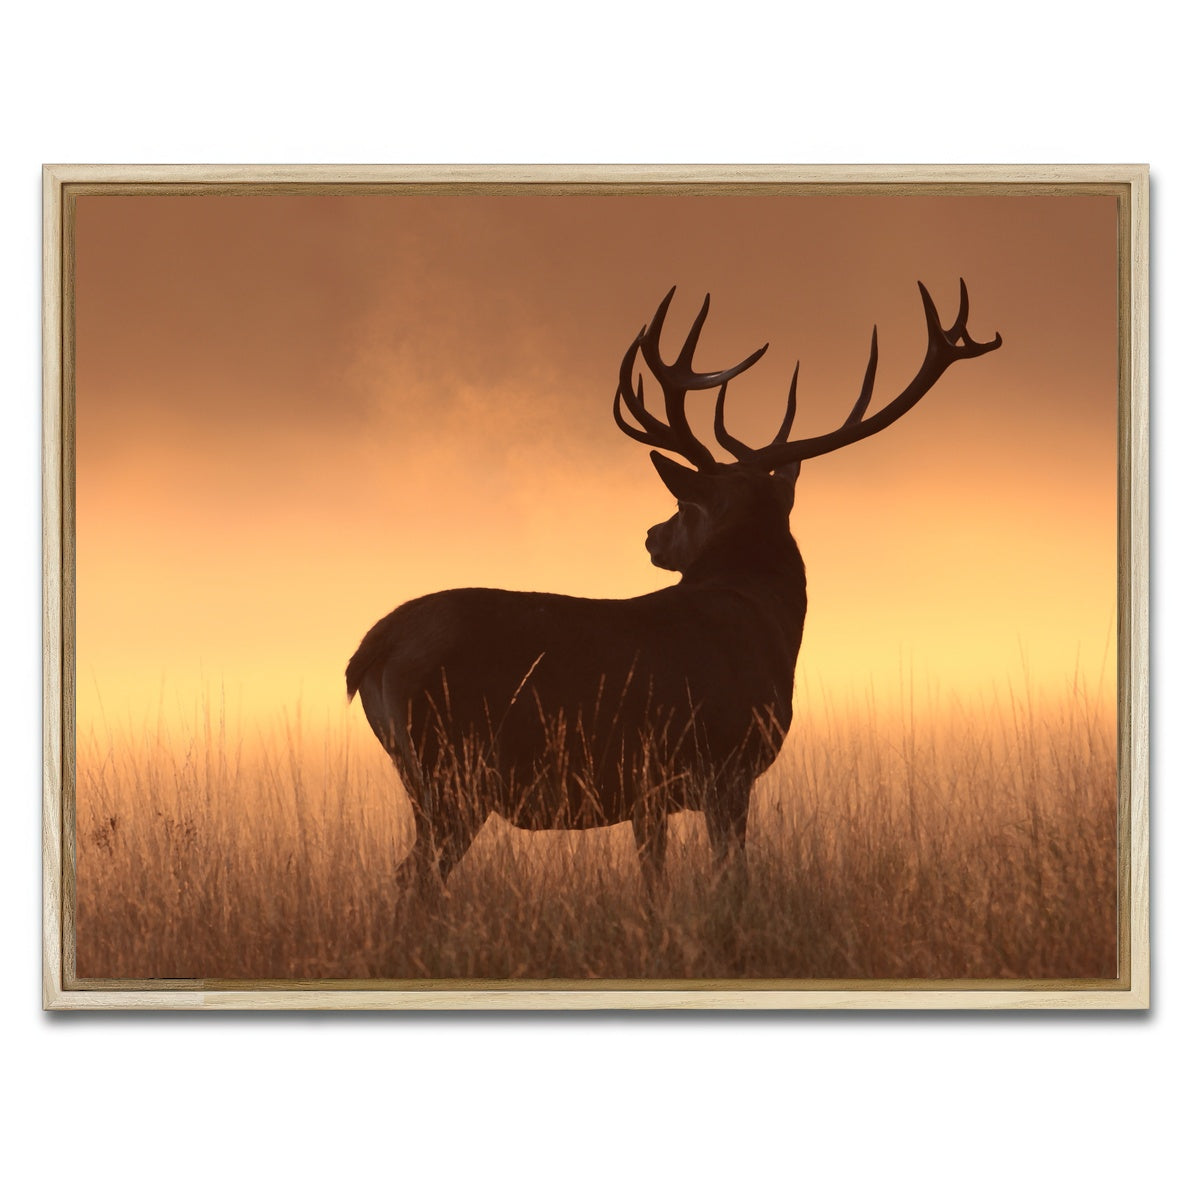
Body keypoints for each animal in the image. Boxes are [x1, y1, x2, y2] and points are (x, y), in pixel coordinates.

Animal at [347, 282, 1001, 901]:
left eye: (684, 509)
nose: (651, 537)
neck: (766, 626)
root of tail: (370, 652)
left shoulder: (650, 791)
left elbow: (655, 881)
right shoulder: (725, 765)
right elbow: (730, 878)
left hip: (434, 776)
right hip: (452, 768)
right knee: (414, 877)